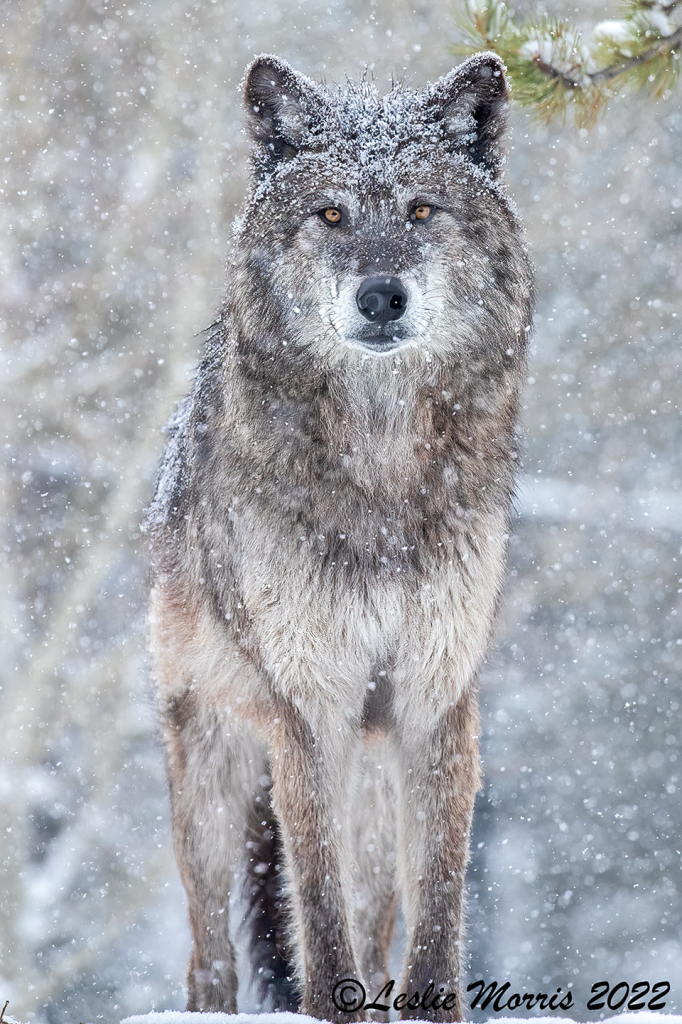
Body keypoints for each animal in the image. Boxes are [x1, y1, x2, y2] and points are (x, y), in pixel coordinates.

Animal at [147, 54, 532, 1024]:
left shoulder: (437, 698)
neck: (383, 473)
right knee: (211, 955)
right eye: (330, 215)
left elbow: (437, 915)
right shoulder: (308, 709)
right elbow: (316, 916)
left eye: (422, 212)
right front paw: (328, 1004)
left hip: (371, 780)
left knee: (375, 917)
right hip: (212, 775)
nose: (381, 296)